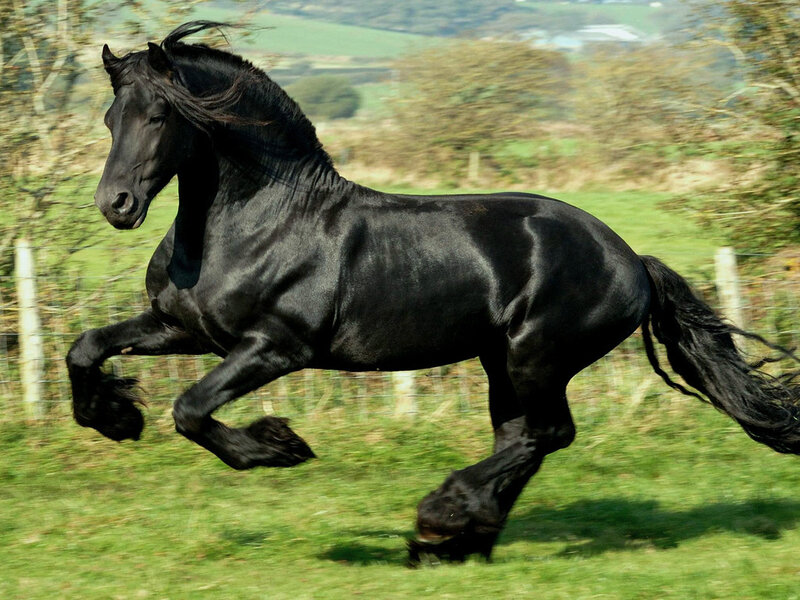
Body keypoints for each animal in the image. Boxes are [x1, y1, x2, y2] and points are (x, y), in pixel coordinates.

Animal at [67, 21, 800, 565]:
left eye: (161, 115)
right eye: (108, 116)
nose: (116, 205)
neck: (258, 222)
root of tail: (632, 261)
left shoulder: (274, 348)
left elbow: (191, 409)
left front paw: (278, 447)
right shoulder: (182, 329)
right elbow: (86, 348)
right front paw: (114, 417)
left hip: (537, 355)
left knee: (547, 433)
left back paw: (441, 518)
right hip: (501, 361)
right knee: (521, 438)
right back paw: (458, 542)